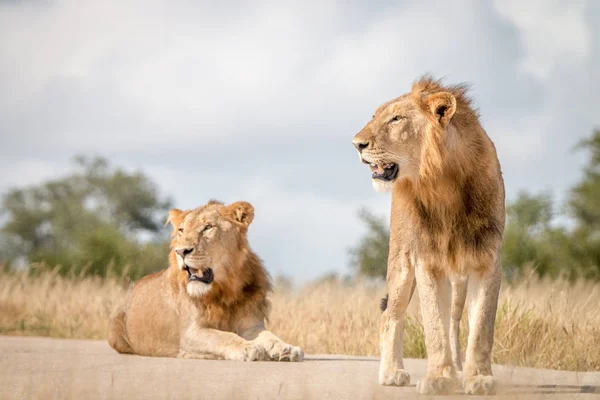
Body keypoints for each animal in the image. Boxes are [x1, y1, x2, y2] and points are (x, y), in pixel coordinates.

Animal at [106, 199, 304, 362]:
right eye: (181, 230)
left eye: (208, 227)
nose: (181, 251)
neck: (226, 289)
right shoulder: (190, 333)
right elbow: (223, 336)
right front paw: (248, 347)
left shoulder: (251, 324)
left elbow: (269, 336)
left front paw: (287, 348)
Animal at [352, 76, 506, 396]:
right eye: (375, 116)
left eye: (396, 119)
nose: (356, 144)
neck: (442, 184)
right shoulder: (427, 261)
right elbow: (434, 327)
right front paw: (439, 378)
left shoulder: (487, 260)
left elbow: (481, 328)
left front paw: (478, 378)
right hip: (401, 265)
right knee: (390, 316)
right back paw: (392, 373)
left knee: (455, 321)